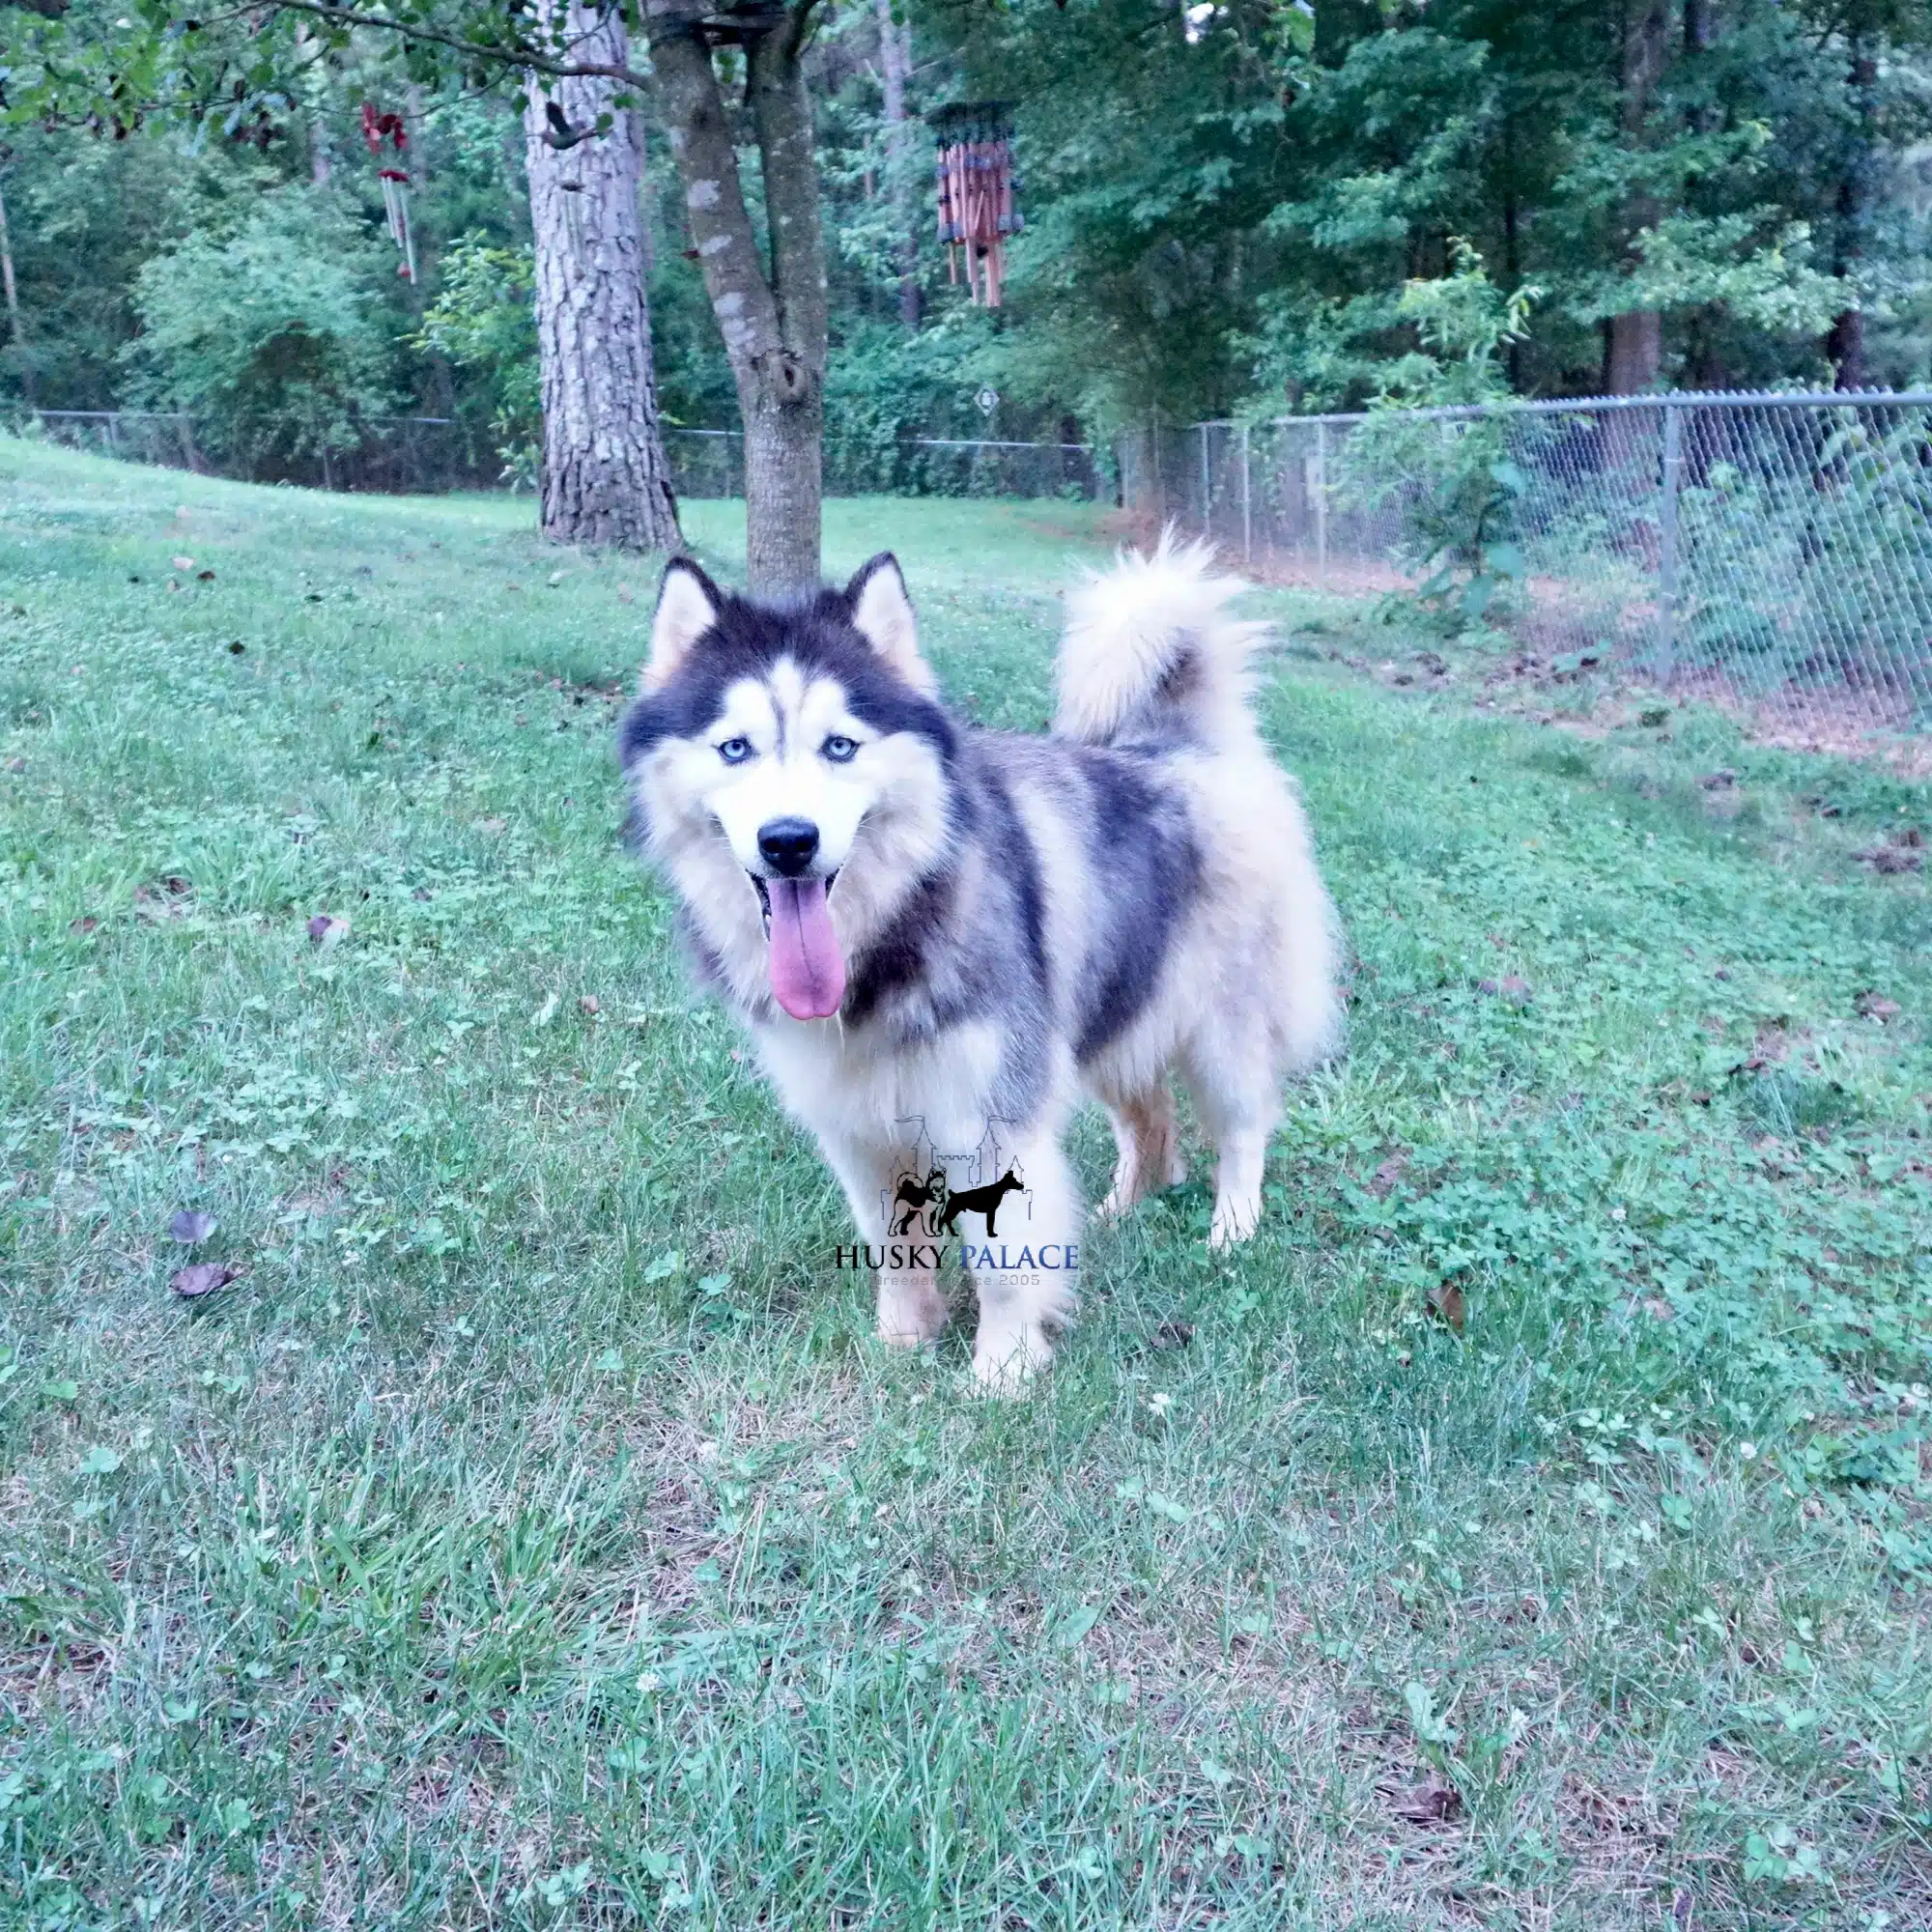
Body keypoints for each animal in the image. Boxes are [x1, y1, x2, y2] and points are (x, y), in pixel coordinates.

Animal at [622, 541, 1345, 1391]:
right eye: (735, 748)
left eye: (840, 745)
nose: (789, 841)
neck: (889, 940)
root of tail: (1186, 747)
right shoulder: (856, 1126)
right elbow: (892, 1246)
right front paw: (904, 1339)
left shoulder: (991, 1118)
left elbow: (1003, 1265)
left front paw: (1002, 1372)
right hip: (1103, 1013)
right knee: (1151, 1118)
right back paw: (1123, 1210)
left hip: (1218, 1029)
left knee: (1243, 1127)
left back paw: (1231, 1229)